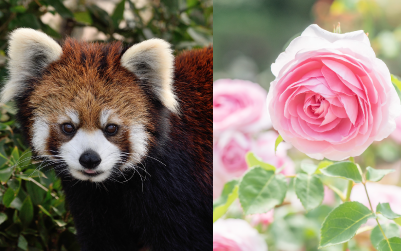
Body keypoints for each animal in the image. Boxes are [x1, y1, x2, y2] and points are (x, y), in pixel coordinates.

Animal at [2, 28, 212, 251]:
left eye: (111, 128)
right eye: (68, 127)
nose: (90, 159)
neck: (112, 186)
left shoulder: (175, 185)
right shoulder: (90, 201)